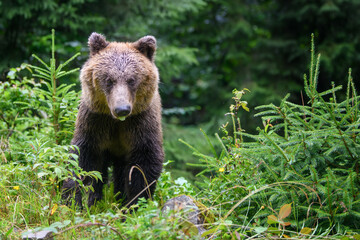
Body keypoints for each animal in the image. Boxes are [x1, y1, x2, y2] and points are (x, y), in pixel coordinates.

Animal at [62, 32, 164, 207]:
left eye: (131, 79)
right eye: (109, 80)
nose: (122, 109)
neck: (118, 122)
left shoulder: (141, 123)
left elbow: (143, 165)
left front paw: (134, 203)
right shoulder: (95, 122)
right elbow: (82, 159)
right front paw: (73, 200)